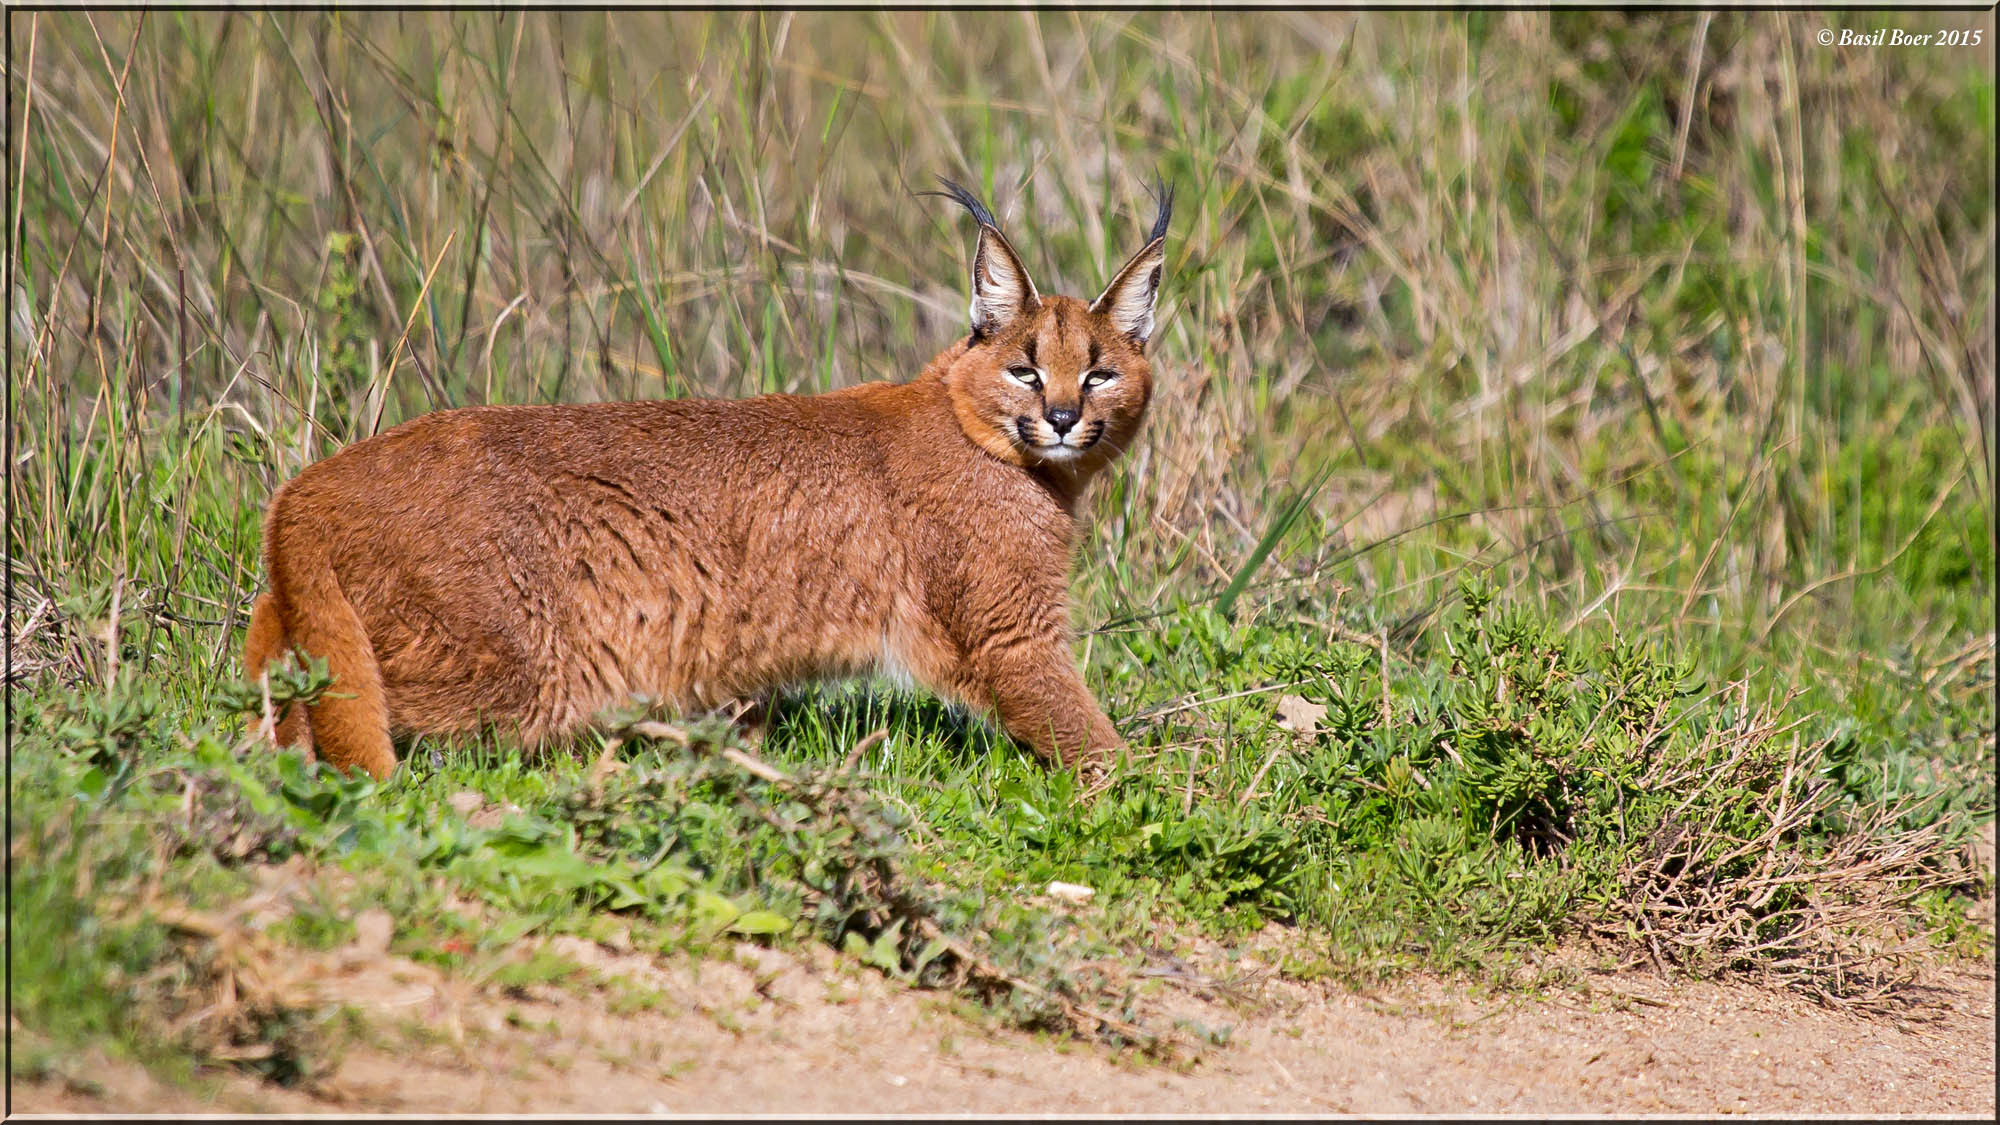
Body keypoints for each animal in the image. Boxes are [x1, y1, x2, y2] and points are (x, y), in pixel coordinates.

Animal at [240, 182, 1168, 780]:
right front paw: (1153, 790)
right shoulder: (1014, 634)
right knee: (337, 691)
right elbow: (1089, 736)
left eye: (1099, 374)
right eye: (1025, 369)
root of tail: (314, 482)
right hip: (514, 667)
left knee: (274, 637)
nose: (1060, 417)